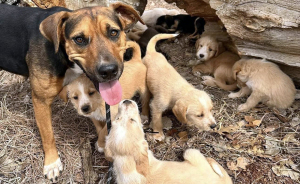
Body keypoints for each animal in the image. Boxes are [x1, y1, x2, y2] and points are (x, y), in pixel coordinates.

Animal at [0, 2, 142, 183]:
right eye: (79, 39)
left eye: (113, 32)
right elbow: (48, 135)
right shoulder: (40, 100)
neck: (61, 52)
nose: (109, 71)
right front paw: (52, 163)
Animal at [104, 99, 233, 184]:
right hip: (190, 151)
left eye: (117, 119)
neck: (126, 164)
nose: (126, 101)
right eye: (134, 120)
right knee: (213, 163)